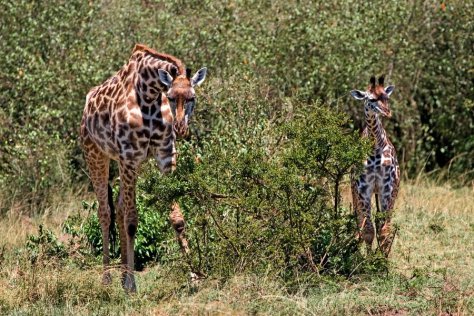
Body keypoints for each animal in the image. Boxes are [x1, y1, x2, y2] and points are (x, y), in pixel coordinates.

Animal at [79, 43, 206, 292]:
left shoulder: (165, 155)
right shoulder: (130, 156)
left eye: (192, 98)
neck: (149, 93)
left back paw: (120, 276)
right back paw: (107, 278)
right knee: (105, 212)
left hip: (123, 162)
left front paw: (194, 275)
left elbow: (177, 219)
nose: (180, 127)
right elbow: (131, 221)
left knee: (118, 208)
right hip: (95, 154)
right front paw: (131, 284)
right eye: (170, 96)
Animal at [350, 76, 398, 256]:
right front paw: (369, 260)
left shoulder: (388, 189)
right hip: (355, 192)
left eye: (386, 97)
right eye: (371, 99)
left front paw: (382, 260)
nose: (387, 112)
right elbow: (368, 230)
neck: (375, 147)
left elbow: (384, 230)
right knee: (359, 221)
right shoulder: (363, 188)